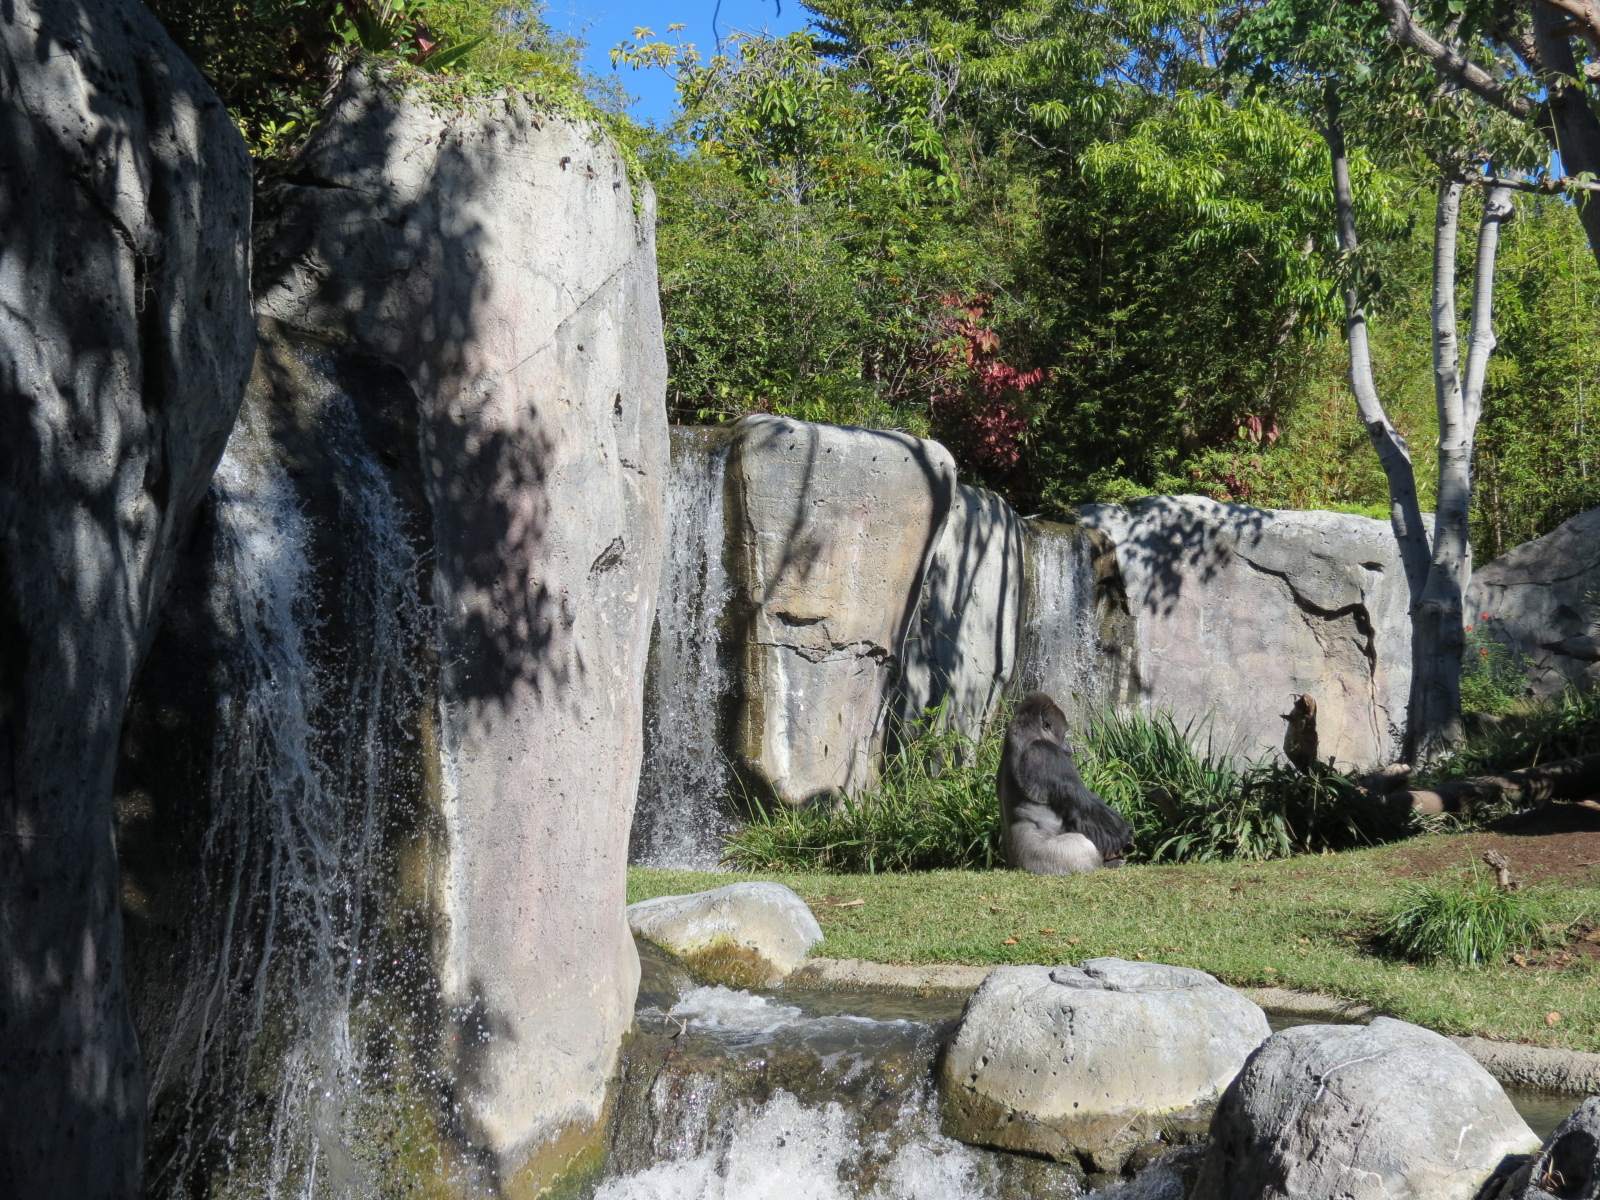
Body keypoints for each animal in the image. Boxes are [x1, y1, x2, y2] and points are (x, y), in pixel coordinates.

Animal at [998, 691, 1136, 875]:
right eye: (1064, 733)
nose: (1068, 744)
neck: (1025, 733)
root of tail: (1014, 866)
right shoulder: (1047, 753)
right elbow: (1084, 806)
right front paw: (1125, 834)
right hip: (1043, 863)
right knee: (1082, 845)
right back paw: (1107, 862)